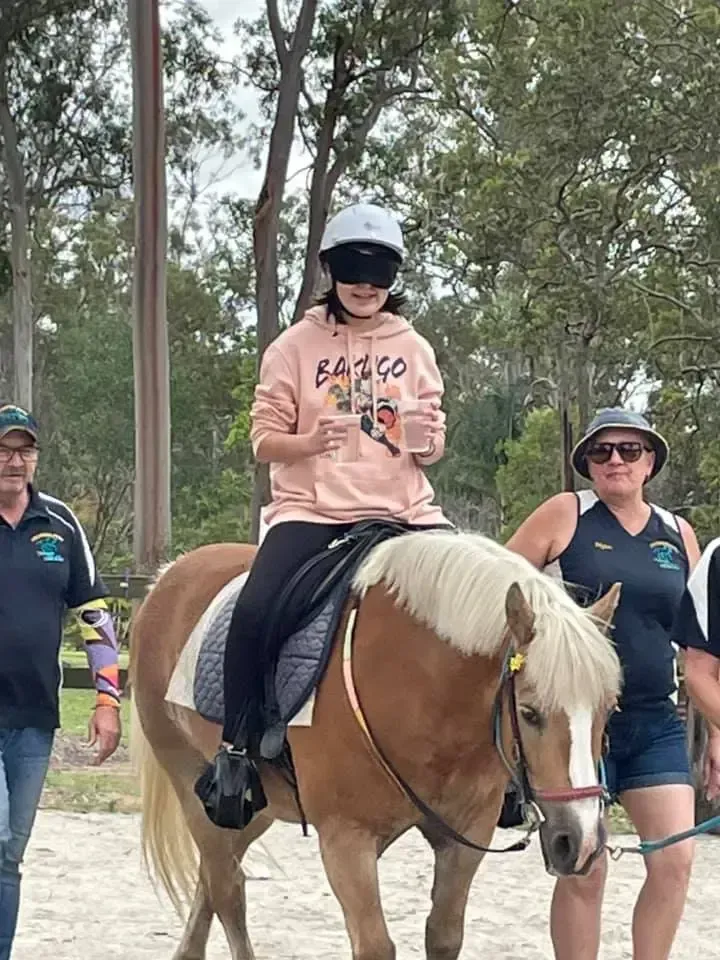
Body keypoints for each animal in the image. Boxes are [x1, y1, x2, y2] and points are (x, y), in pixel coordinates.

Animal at [130, 529, 622, 960]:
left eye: (608, 709)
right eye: (530, 712)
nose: (579, 843)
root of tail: (169, 576)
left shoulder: (466, 839)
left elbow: (444, 937)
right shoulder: (346, 841)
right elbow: (375, 947)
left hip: (257, 808)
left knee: (215, 878)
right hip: (190, 780)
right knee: (228, 889)